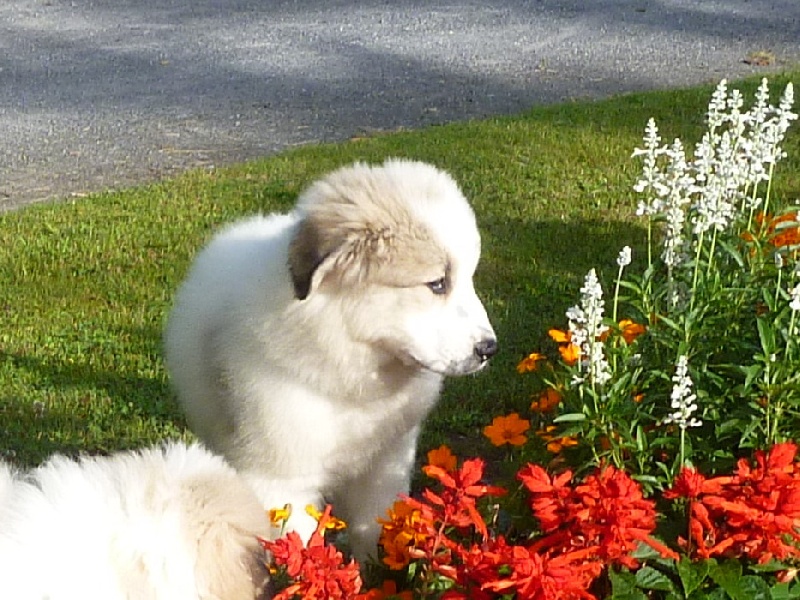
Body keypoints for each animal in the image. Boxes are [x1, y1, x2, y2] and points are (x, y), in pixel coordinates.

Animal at [166, 158, 496, 556]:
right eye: (437, 284)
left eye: (469, 278)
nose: (489, 348)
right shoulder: (282, 478)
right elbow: (303, 550)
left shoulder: (386, 461)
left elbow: (375, 525)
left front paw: (379, 566)